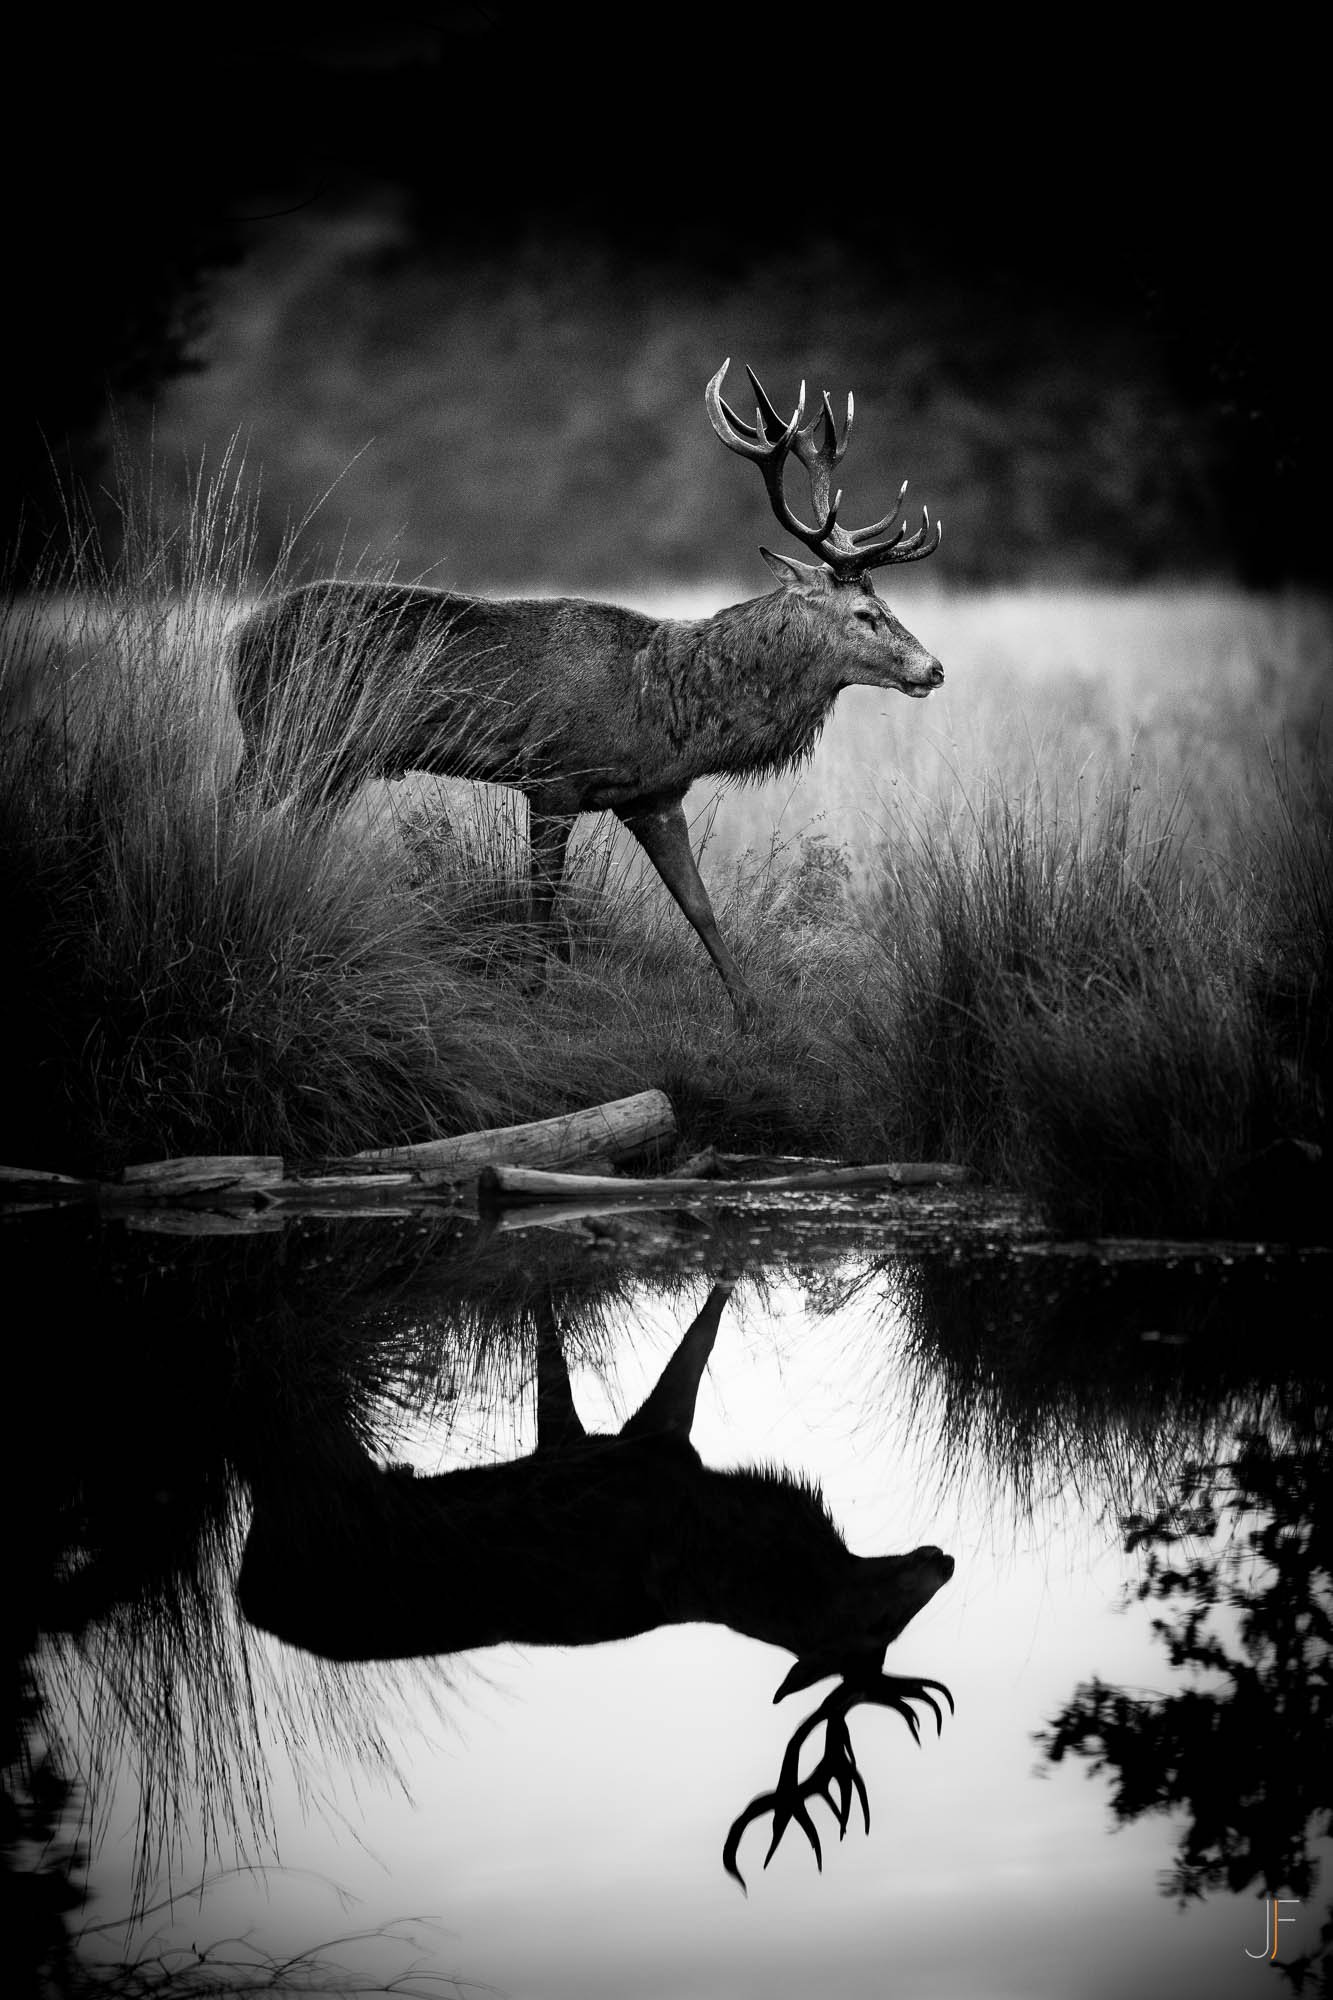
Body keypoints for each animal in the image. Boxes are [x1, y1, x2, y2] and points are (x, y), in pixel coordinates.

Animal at [231, 362, 944, 1019]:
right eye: (866, 614)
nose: (933, 668)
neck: (666, 702)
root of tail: (240, 637)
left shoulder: (654, 795)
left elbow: (699, 905)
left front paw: (749, 1010)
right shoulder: (553, 775)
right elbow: (544, 902)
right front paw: (534, 992)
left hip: (327, 757)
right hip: (288, 736)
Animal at [236, 1278, 955, 1884]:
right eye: (882, 1623)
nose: (942, 1561)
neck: (724, 1536)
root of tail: (249, 1600)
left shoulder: (624, 1445)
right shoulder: (616, 1447)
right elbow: (657, 1337)